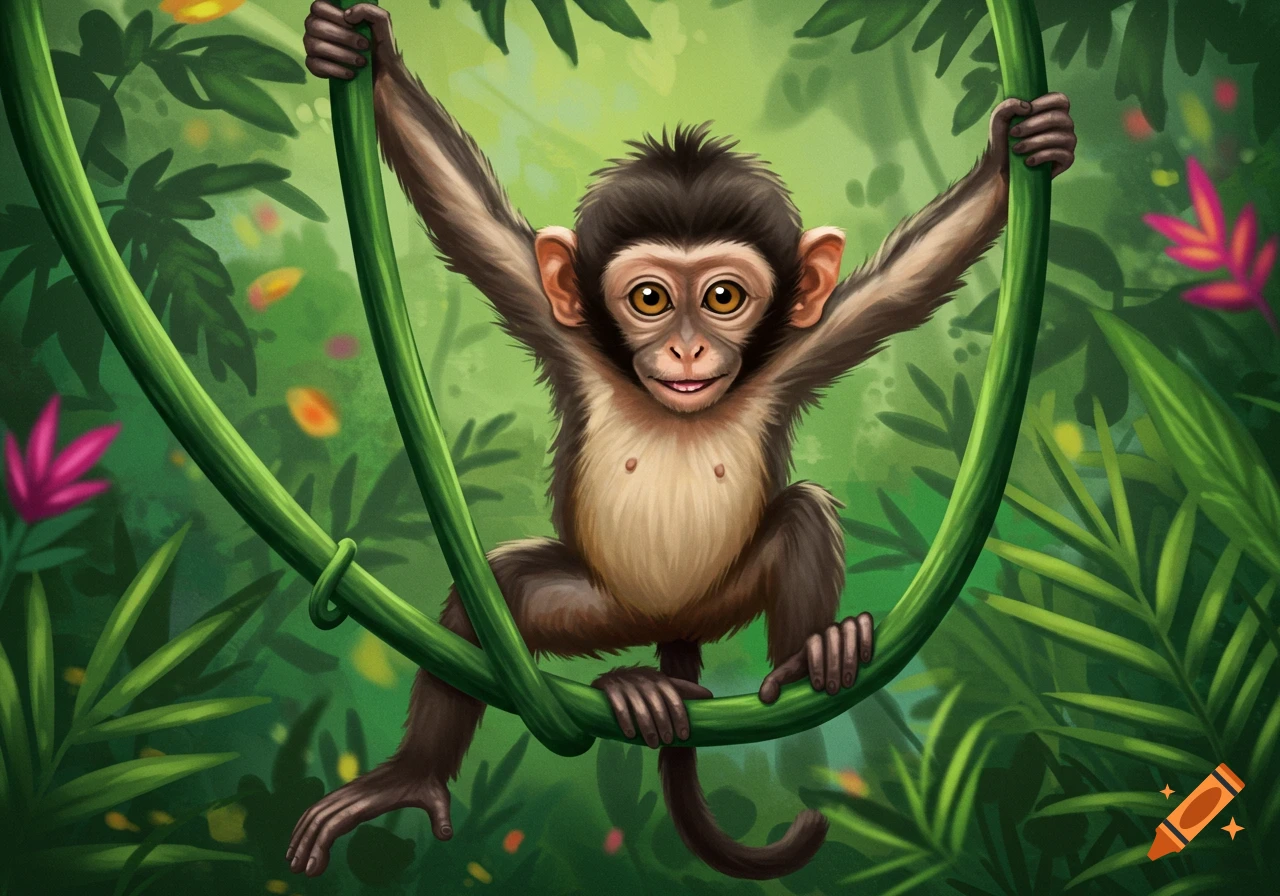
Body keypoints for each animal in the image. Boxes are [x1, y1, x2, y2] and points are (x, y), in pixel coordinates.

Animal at [289, 1, 1076, 881]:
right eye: (650, 299)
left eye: (725, 297)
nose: (690, 350)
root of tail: (670, 628)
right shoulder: (567, 334)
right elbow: (468, 218)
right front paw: (362, 56)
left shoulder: (792, 353)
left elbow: (908, 282)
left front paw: (1021, 150)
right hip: (594, 607)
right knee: (492, 597)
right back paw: (478, 750)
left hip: (722, 596)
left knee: (801, 516)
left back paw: (812, 657)